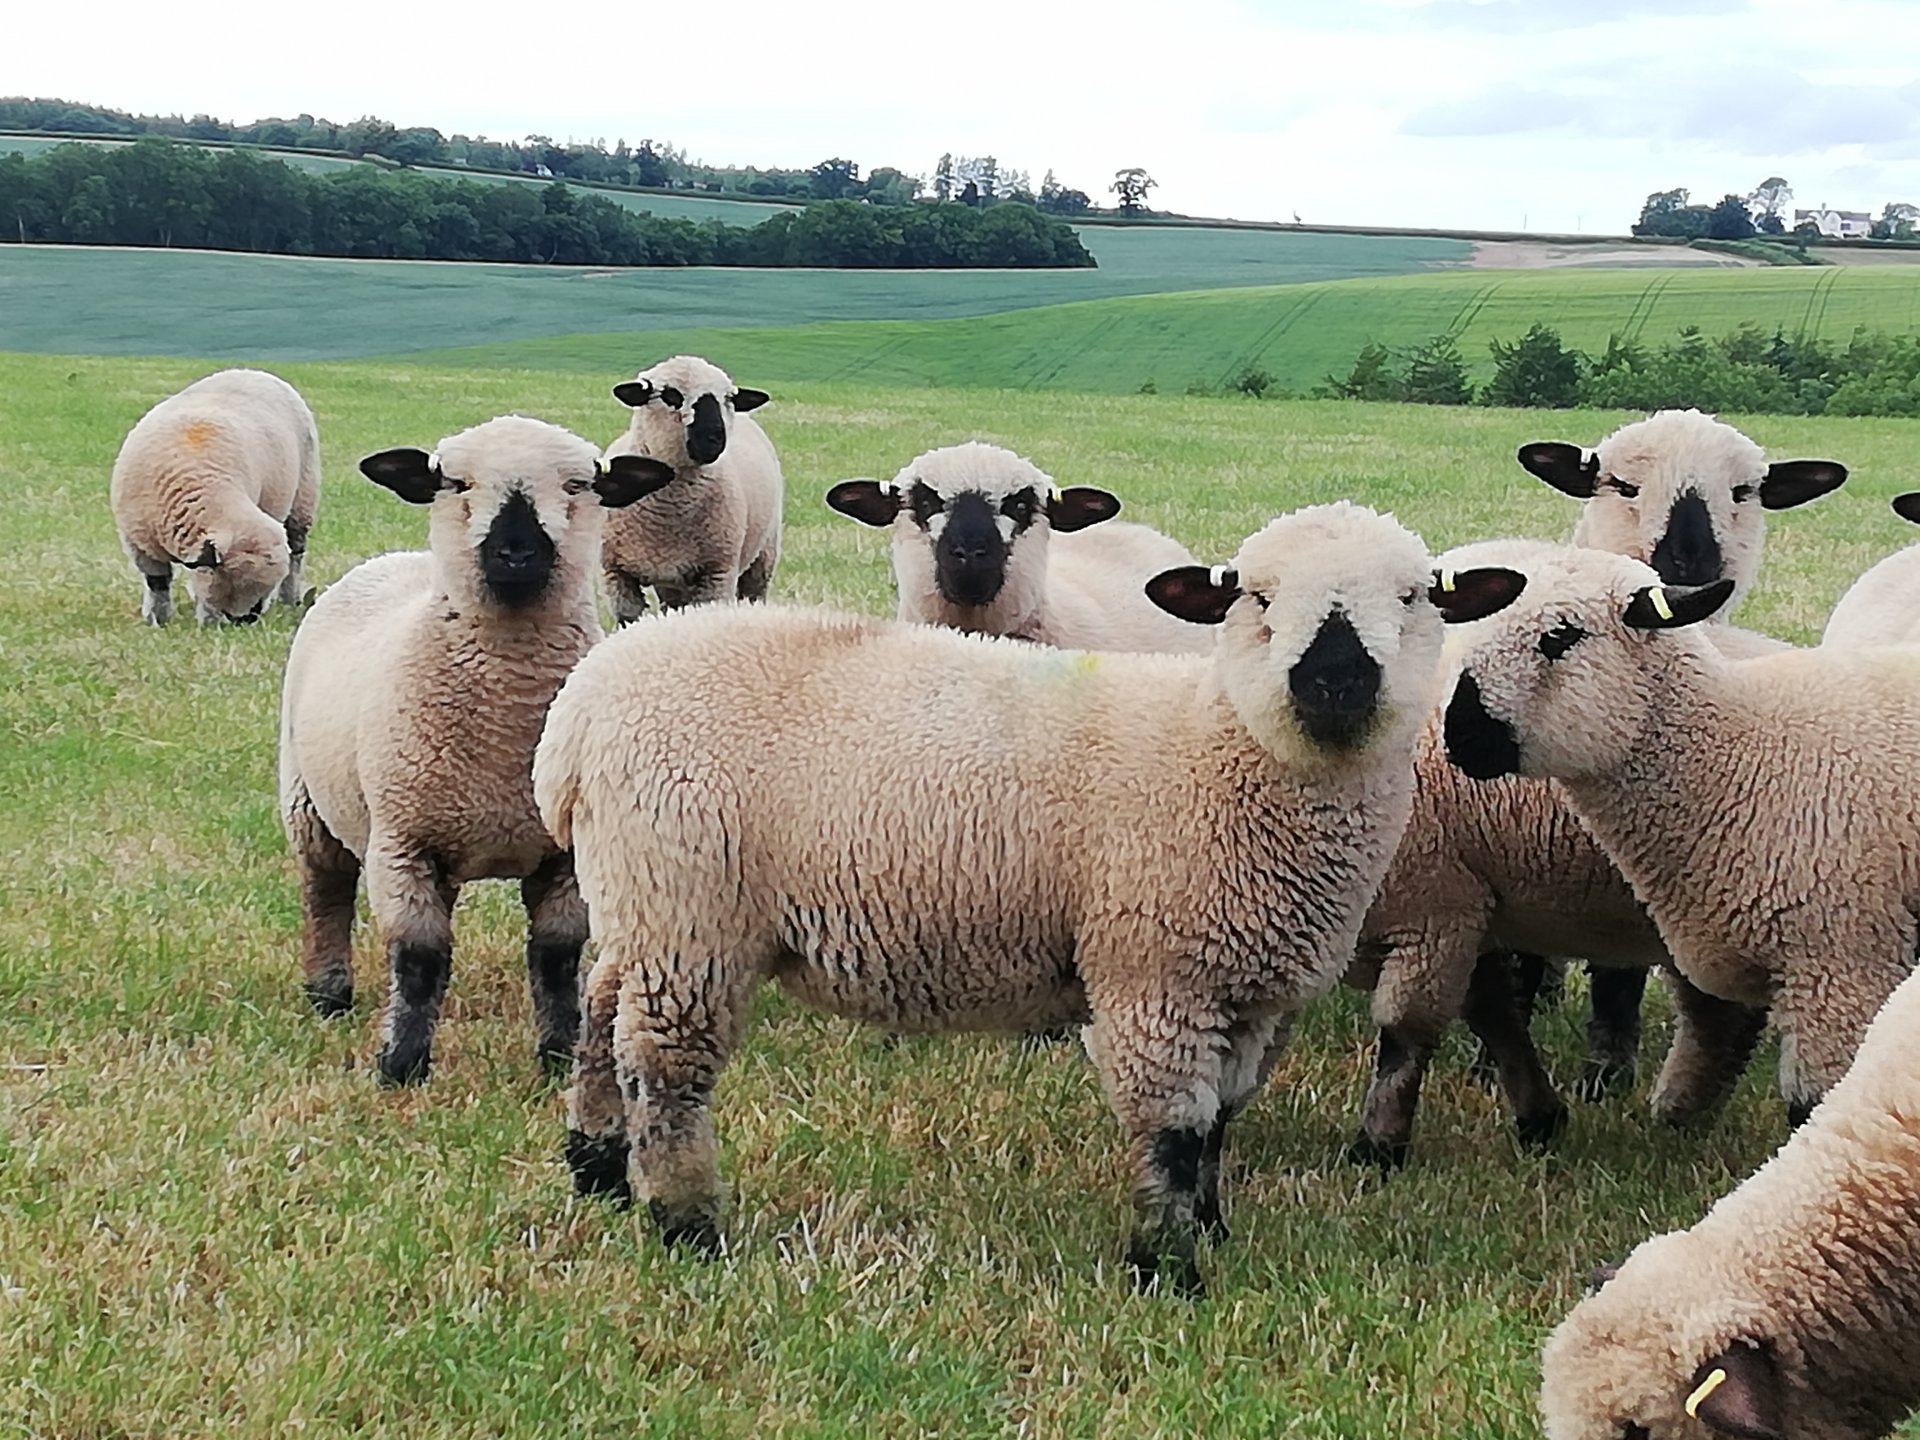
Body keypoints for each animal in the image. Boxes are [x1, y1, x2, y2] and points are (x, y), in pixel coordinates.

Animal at [109, 367, 322, 625]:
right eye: (230, 581)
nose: (244, 621)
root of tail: (254, 372)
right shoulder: (138, 542)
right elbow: (157, 582)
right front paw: (157, 619)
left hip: (303, 496)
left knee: (296, 553)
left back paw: (290, 600)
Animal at [278, 415, 673, 1085]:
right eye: (454, 482)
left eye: (580, 485)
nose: (515, 553)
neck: (505, 716)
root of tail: (395, 560)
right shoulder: (402, 844)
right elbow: (417, 960)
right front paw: (402, 1065)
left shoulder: (565, 857)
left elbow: (556, 957)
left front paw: (558, 1056)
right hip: (308, 802)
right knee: (325, 893)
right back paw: (328, 993)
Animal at [533, 500, 1526, 1294]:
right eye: (1254, 597)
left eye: (1418, 597)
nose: (1334, 679)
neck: (1223, 748)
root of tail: (583, 707)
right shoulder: (1154, 973)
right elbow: (1174, 1129)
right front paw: (1166, 1272)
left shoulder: (1248, 990)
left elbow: (1219, 1119)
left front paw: (1209, 1229)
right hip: (687, 911)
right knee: (665, 1068)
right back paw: (685, 1226)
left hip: (641, 903)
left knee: (600, 1013)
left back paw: (597, 1170)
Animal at [598, 354, 782, 622]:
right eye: (670, 395)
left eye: (728, 398)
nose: (715, 437)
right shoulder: (615, 574)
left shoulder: (717, 572)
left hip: (764, 554)